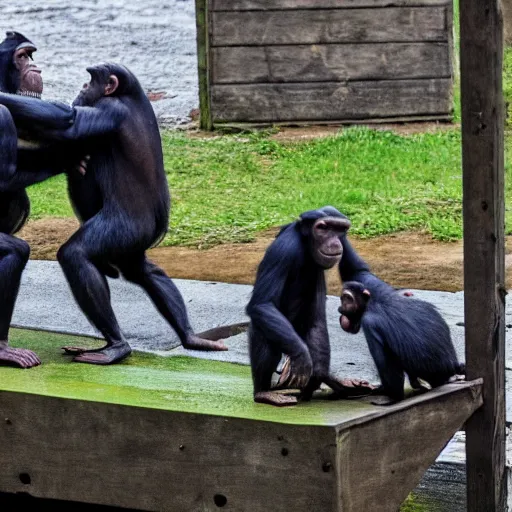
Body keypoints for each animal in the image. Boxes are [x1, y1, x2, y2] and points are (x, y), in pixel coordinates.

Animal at [0, 61, 228, 364]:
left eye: (91, 79)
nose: (83, 86)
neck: (128, 95)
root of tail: (157, 227)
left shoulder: (109, 109)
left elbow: (70, 121)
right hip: (132, 241)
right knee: (144, 271)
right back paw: (189, 336)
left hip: (121, 228)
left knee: (77, 255)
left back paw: (117, 345)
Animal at [246, 206, 374, 406]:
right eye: (323, 228)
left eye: (340, 229)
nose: (334, 241)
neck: (306, 244)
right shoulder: (283, 249)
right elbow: (263, 303)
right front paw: (302, 357)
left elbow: (318, 314)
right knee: (264, 329)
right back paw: (263, 392)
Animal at [338, 236, 466, 404]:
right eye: (343, 298)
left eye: (348, 299)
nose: (341, 307)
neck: (372, 303)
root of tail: (452, 368)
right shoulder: (372, 285)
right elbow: (357, 270)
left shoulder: (369, 322)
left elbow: (386, 364)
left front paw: (390, 395)